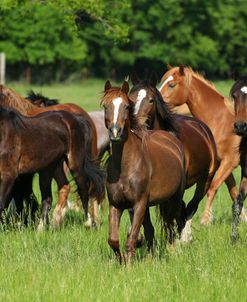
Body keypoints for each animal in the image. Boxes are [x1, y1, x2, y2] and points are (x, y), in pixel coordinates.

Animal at [101, 80, 186, 262]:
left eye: (126, 106)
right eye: (105, 106)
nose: (115, 132)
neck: (125, 166)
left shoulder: (139, 203)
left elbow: (131, 239)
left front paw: (129, 264)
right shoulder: (116, 204)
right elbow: (113, 240)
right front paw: (122, 260)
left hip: (175, 198)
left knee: (174, 225)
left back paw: (174, 251)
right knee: (152, 230)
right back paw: (150, 257)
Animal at [129, 77, 218, 241]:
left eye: (151, 100)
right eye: (130, 99)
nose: (135, 125)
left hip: (206, 180)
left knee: (191, 206)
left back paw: (185, 237)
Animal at [158, 65, 243, 224]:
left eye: (171, 85)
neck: (221, 122)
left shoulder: (230, 162)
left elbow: (213, 188)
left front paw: (205, 219)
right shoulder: (223, 163)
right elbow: (233, 192)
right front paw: (243, 217)